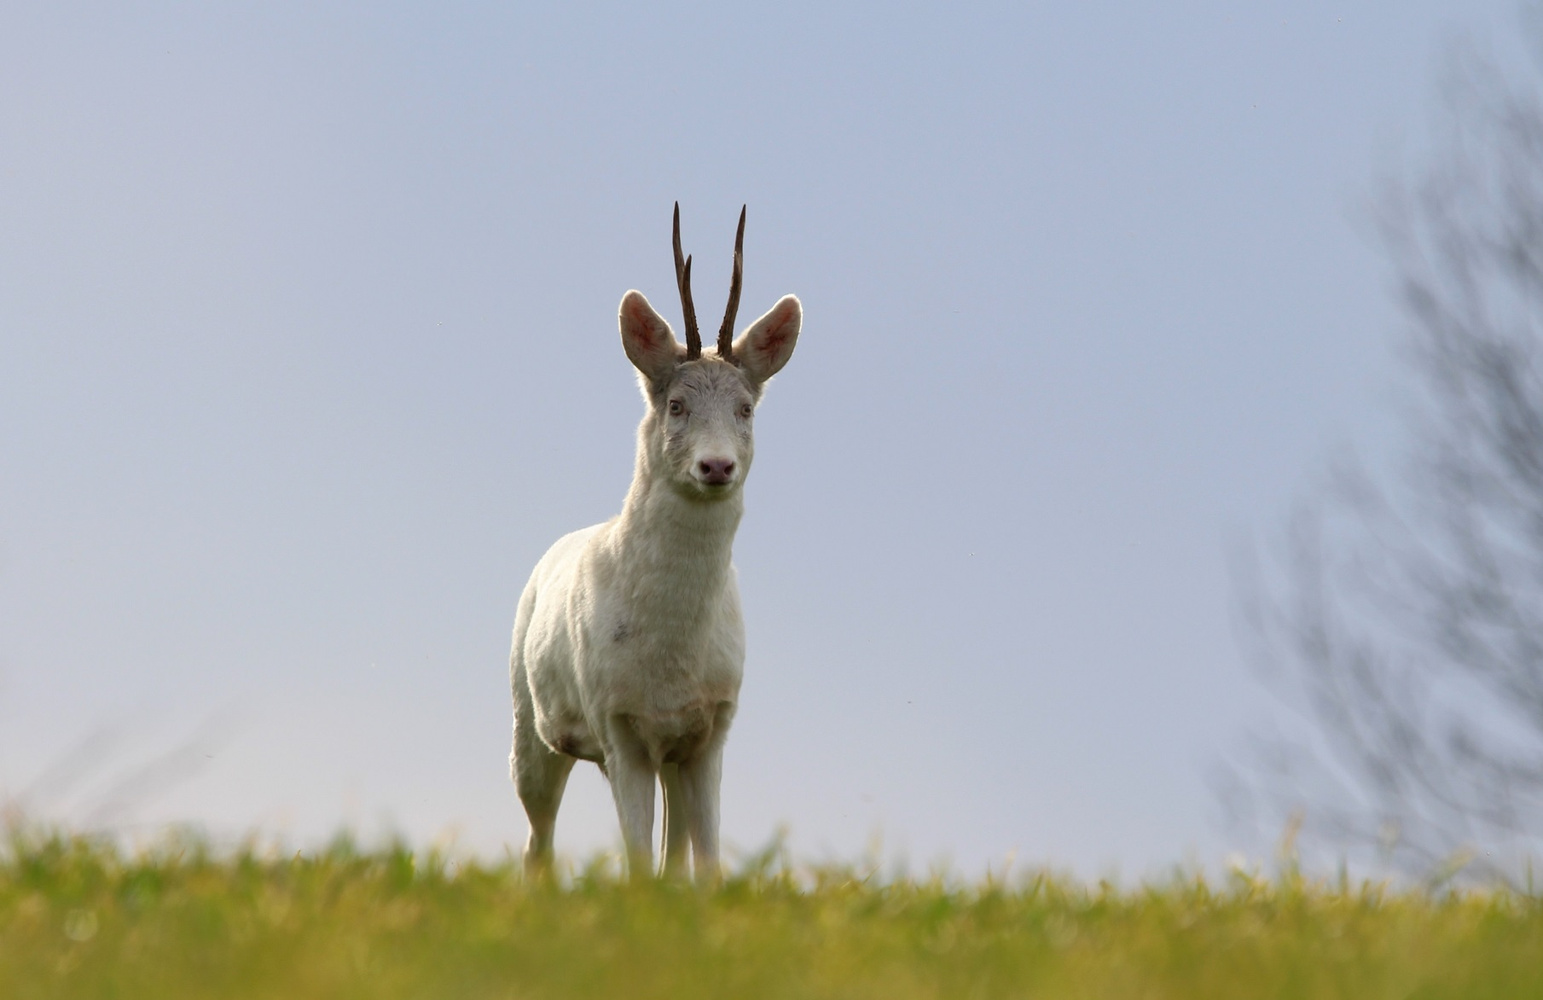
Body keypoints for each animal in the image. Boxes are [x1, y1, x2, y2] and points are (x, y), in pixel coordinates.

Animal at [509, 206, 808, 876]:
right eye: (675, 404)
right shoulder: (616, 720)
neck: (669, 659)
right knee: (537, 836)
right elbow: (637, 863)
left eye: (746, 408)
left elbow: (707, 864)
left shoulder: (713, 723)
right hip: (527, 716)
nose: (716, 465)